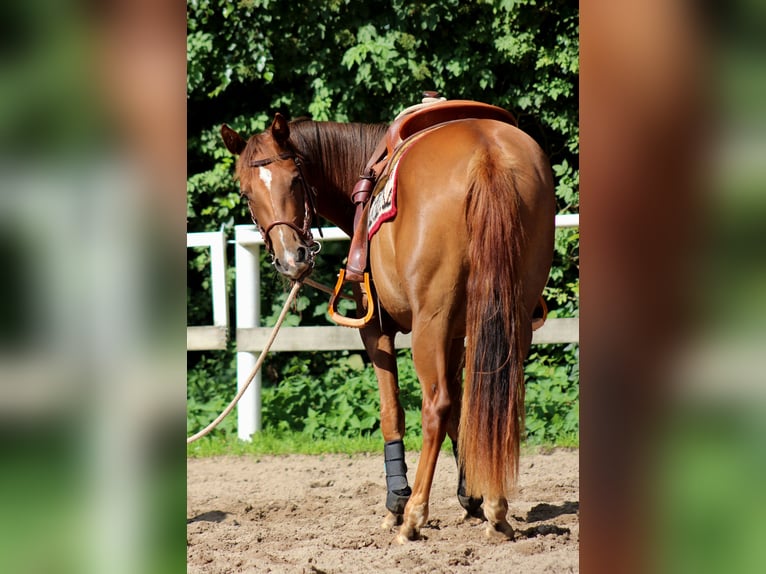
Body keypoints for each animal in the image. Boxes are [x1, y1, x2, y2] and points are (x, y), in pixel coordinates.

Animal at [221, 108, 555, 543]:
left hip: (430, 324)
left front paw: (396, 502)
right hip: (508, 316)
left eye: (295, 179)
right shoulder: (457, 333)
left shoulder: (377, 330)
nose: (292, 259)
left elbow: (393, 411)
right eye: (246, 194)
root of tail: (488, 154)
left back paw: (414, 516)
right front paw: (471, 495)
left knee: (435, 405)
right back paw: (497, 510)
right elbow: (463, 409)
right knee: (495, 399)